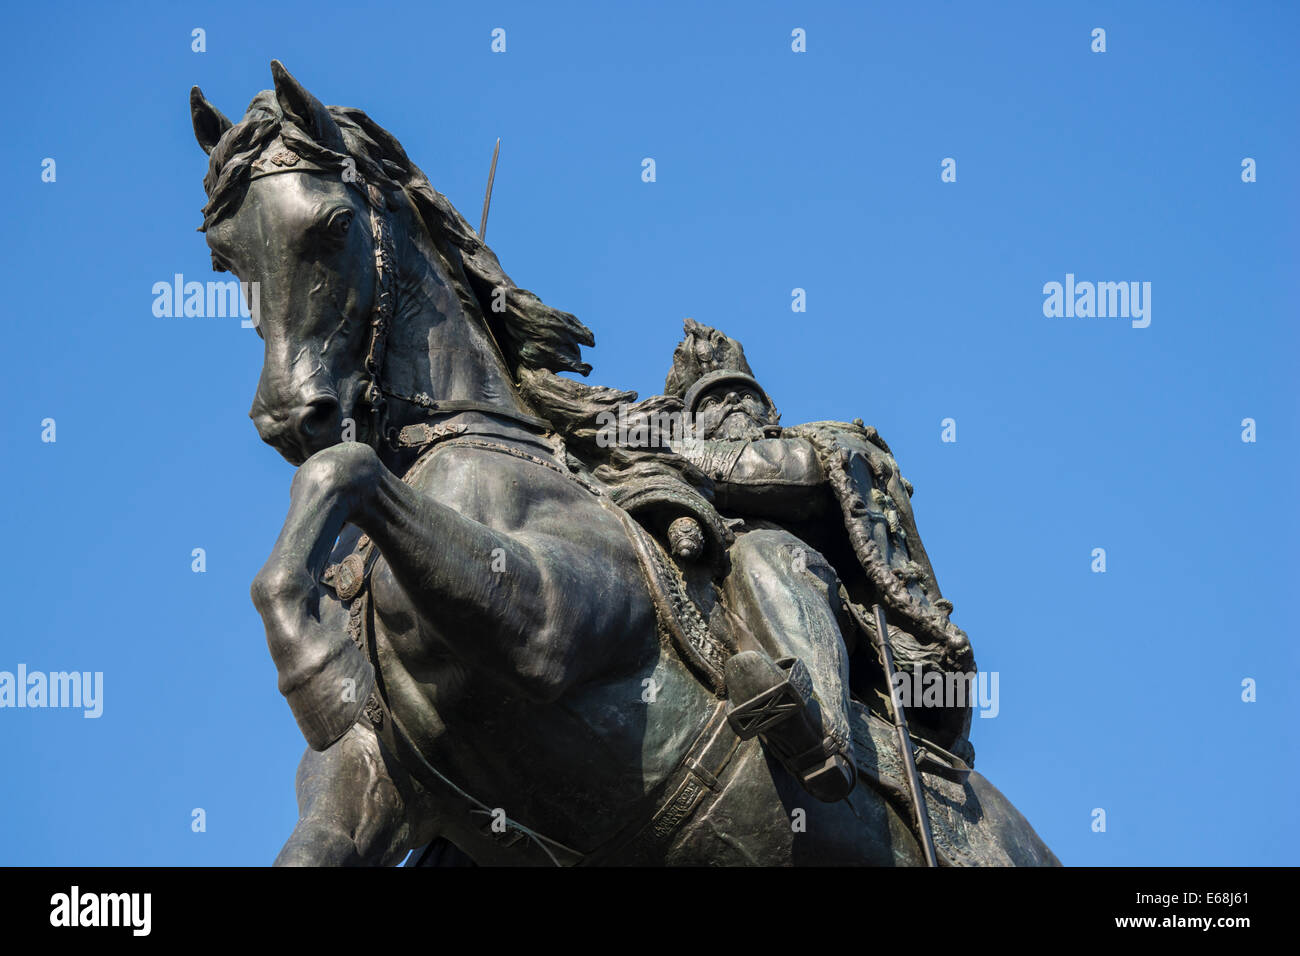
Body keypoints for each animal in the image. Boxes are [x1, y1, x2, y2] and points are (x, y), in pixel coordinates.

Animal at [195, 59, 1066, 868]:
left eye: (334, 223)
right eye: (226, 260)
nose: (289, 416)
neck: (476, 444)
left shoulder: (543, 621)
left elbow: (342, 471)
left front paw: (315, 668)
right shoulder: (369, 789)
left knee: (780, 553)